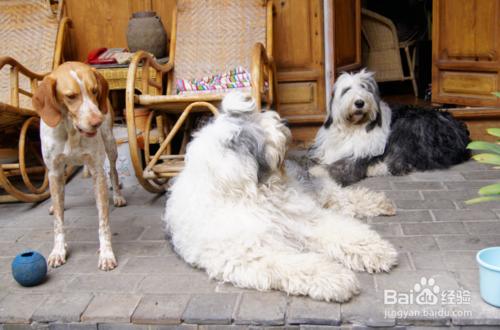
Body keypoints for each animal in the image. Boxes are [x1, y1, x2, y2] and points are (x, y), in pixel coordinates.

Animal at [32, 62, 127, 270]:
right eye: (71, 96)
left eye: (95, 91)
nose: (97, 121)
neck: (71, 131)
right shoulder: (54, 171)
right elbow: (58, 221)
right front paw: (58, 250)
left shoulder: (98, 171)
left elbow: (103, 222)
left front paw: (106, 253)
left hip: (110, 144)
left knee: (113, 171)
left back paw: (117, 195)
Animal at [164, 92, 398, 302]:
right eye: (254, 129)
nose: (283, 122)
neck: (253, 195)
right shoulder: (253, 252)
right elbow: (292, 263)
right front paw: (336, 278)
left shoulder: (304, 220)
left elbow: (339, 231)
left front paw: (375, 250)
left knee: (336, 195)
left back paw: (381, 203)